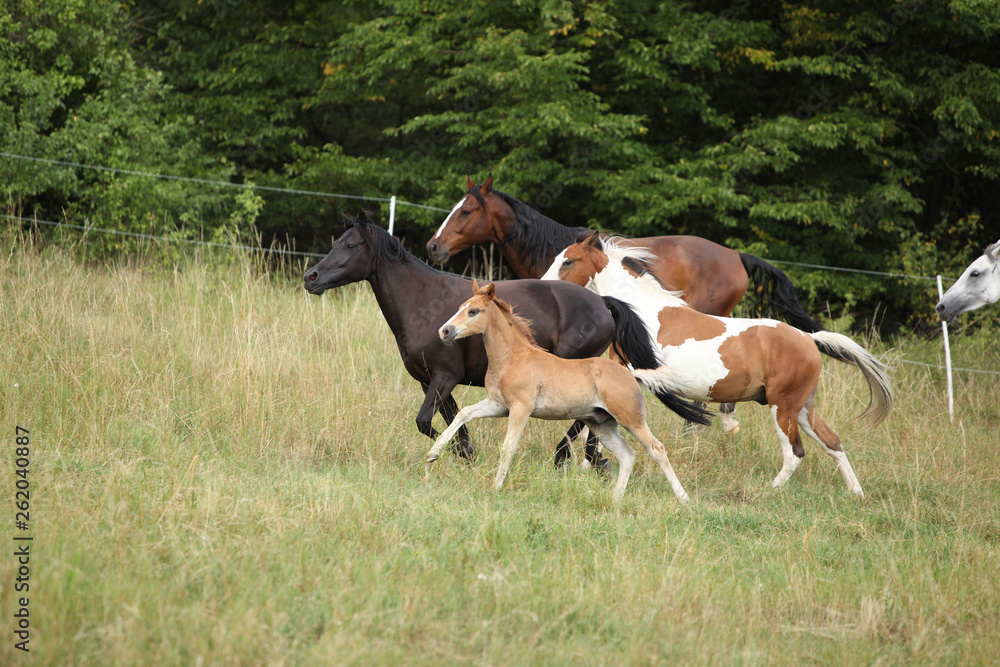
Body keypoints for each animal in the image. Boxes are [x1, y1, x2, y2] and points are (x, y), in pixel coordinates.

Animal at [303, 212, 709, 463]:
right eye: (337, 241)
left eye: (351, 246)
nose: (311, 277)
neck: (423, 302)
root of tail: (604, 303)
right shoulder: (431, 382)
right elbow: (453, 422)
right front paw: (466, 454)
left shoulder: (444, 377)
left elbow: (424, 421)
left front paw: (457, 455)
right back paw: (593, 460)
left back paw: (571, 458)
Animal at [424, 281, 691, 504]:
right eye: (461, 307)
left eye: (473, 311)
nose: (444, 331)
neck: (513, 358)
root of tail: (631, 375)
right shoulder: (498, 405)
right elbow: (464, 414)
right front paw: (432, 454)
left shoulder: (521, 408)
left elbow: (508, 447)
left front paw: (496, 486)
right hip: (601, 424)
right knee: (627, 455)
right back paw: (615, 499)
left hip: (631, 419)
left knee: (656, 449)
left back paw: (684, 498)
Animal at [541, 232, 894, 496]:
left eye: (568, 260)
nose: (543, 283)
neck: (643, 313)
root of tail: (808, 339)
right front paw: (586, 463)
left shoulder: (630, 375)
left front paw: (581, 462)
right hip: (804, 408)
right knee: (833, 442)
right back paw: (856, 493)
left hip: (783, 407)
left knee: (794, 454)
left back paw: (768, 491)